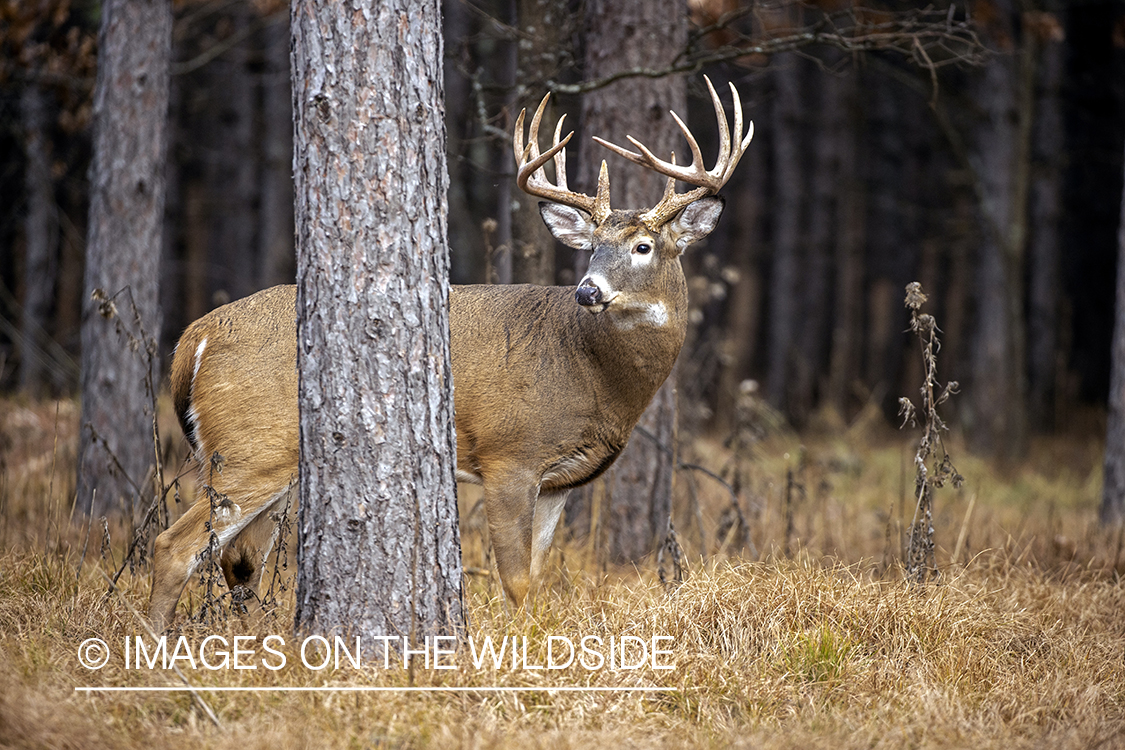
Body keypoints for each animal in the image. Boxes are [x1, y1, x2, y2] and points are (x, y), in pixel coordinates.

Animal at [145, 76, 751, 629]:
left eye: (643, 246)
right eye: (593, 248)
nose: (588, 291)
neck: (593, 373)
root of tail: (192, 342)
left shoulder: (559, 481)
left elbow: (538, 571)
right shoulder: (509, 455)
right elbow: (516, 579)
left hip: (267, 459)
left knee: (239, 558)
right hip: (252, 447)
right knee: (174, 546)